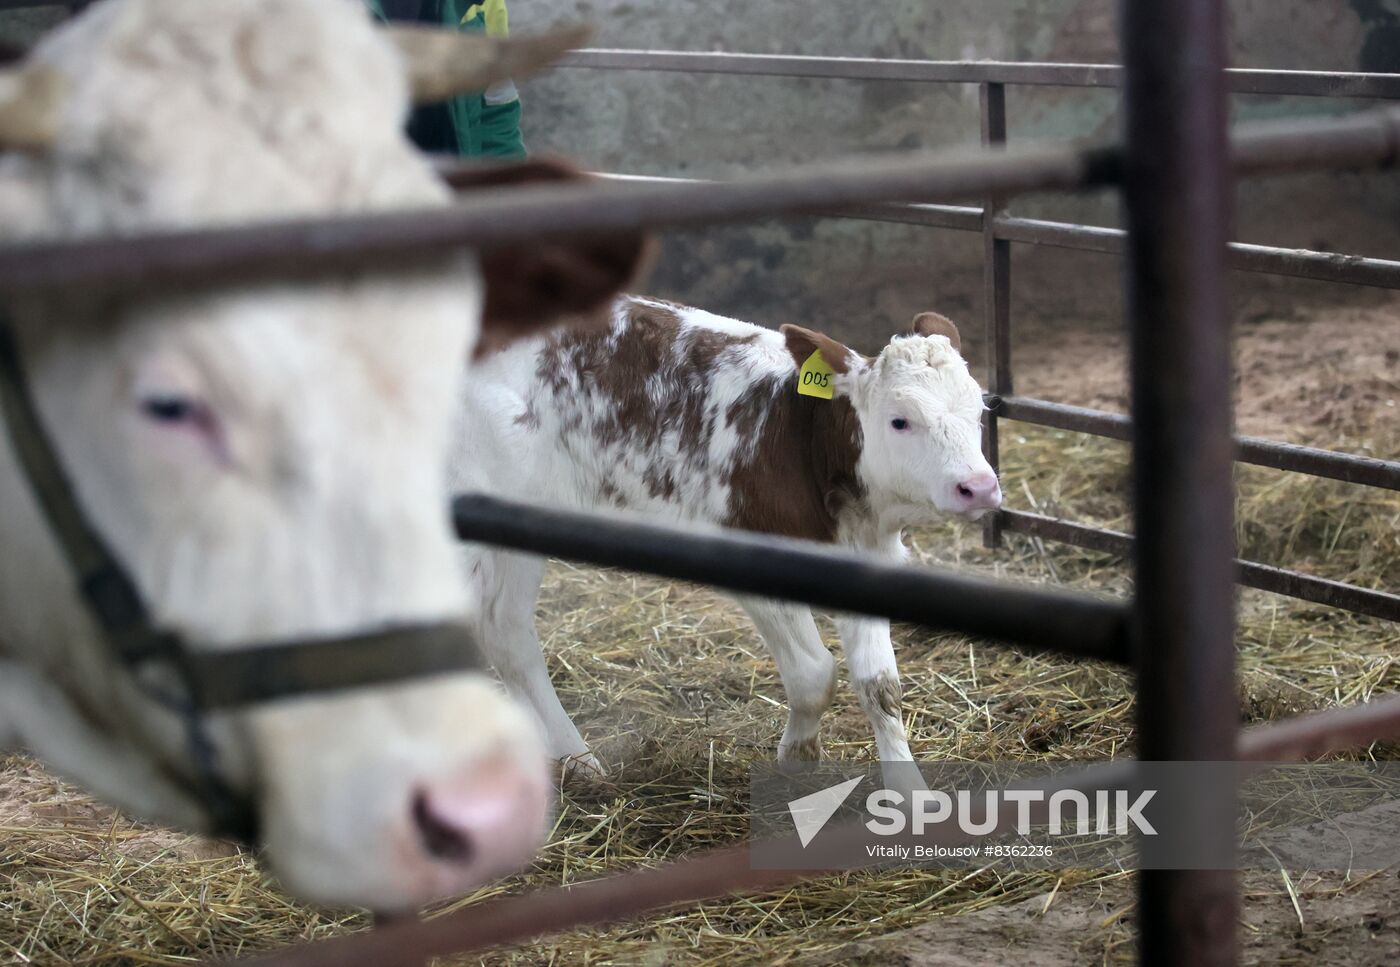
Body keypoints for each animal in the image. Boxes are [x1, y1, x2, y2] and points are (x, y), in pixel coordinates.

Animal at [453, 295, 1001, 776]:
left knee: (504, 630)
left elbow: (881, 686)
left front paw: (909, 797)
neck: (800, 442)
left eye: (980, 411)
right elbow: (814, 675)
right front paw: (797, 759)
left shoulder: (866, 558)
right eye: (899, 420)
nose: (978, 486)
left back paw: (569, 759)